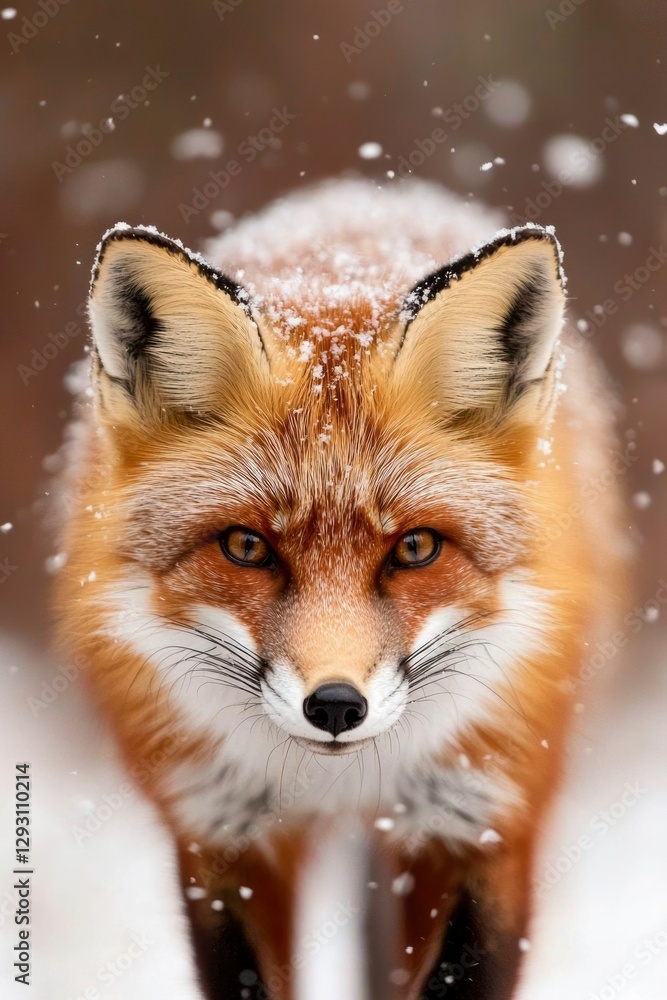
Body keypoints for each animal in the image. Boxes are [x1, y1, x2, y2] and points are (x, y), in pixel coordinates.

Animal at [54, 178, 628, 1000]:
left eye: (415, 548)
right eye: (246, 546)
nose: (333, 706)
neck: (342, 782)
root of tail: (363, 195)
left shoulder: (484, 816)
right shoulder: (223, 834)